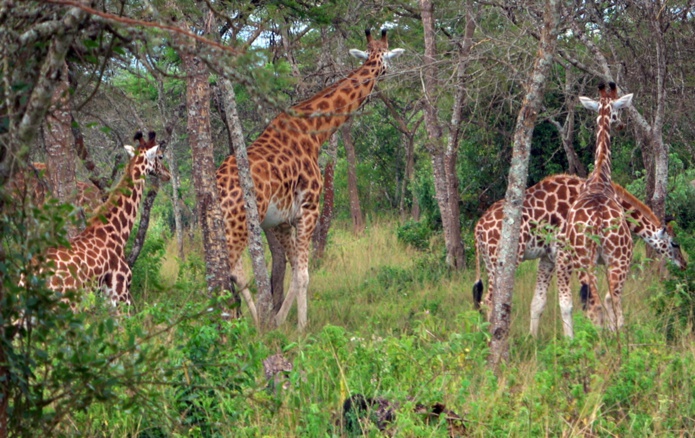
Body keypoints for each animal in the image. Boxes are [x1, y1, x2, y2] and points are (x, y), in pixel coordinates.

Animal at [215, 29, 406, 328]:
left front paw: (280, 321)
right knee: (233, 271)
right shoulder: (309, 209)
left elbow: (295, 271)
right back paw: (250, 323)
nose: (389, 74)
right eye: (388, 57)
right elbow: (304, 275)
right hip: (240, 223)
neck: (316, 131)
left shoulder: (282, 220)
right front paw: (301, 327)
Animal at [470, 173, 688, 334]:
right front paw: (572, 342)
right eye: (675, 243)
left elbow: (538, 302)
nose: (684, 264)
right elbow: (568, 304)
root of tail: (478, 228)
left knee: (485, 300)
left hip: (490, 262)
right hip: (506, 259)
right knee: (489, 300)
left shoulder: (548, 258)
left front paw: (533, 339)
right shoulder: (564, 254)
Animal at [552, 84, 632, 338]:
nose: (621, 125)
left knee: (599, 302)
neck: (599, 176)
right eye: (618, 111)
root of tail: (597, 221)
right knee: (607, 299)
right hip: (618, 258)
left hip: (589, 260)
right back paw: (615, 340)